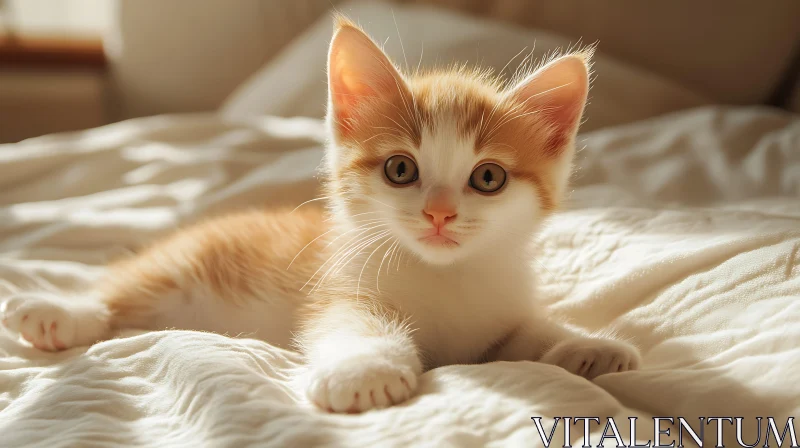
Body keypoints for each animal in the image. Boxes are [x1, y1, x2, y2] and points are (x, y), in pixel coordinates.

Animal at [0, 20, 636, 412]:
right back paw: (58, 313)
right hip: (184, 264)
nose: (439, 214)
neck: (442, 276)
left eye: (488, 179)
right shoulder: (339, 288)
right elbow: (352, 322)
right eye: (400, 169)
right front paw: (367, 370)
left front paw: (588, 346)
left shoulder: (496, 314)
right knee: (118, 289)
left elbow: (525, 333)